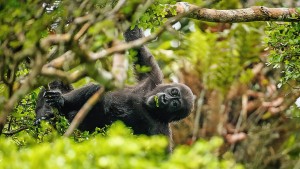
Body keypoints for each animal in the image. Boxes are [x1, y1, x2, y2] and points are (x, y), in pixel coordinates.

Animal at [39, 26, 195, 149]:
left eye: (174, 104)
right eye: (173, 92)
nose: (164, 99)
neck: (145, 104)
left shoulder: (161, 132)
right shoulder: (153, 79)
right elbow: (138, 48)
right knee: (96, 90)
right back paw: (57, 104)